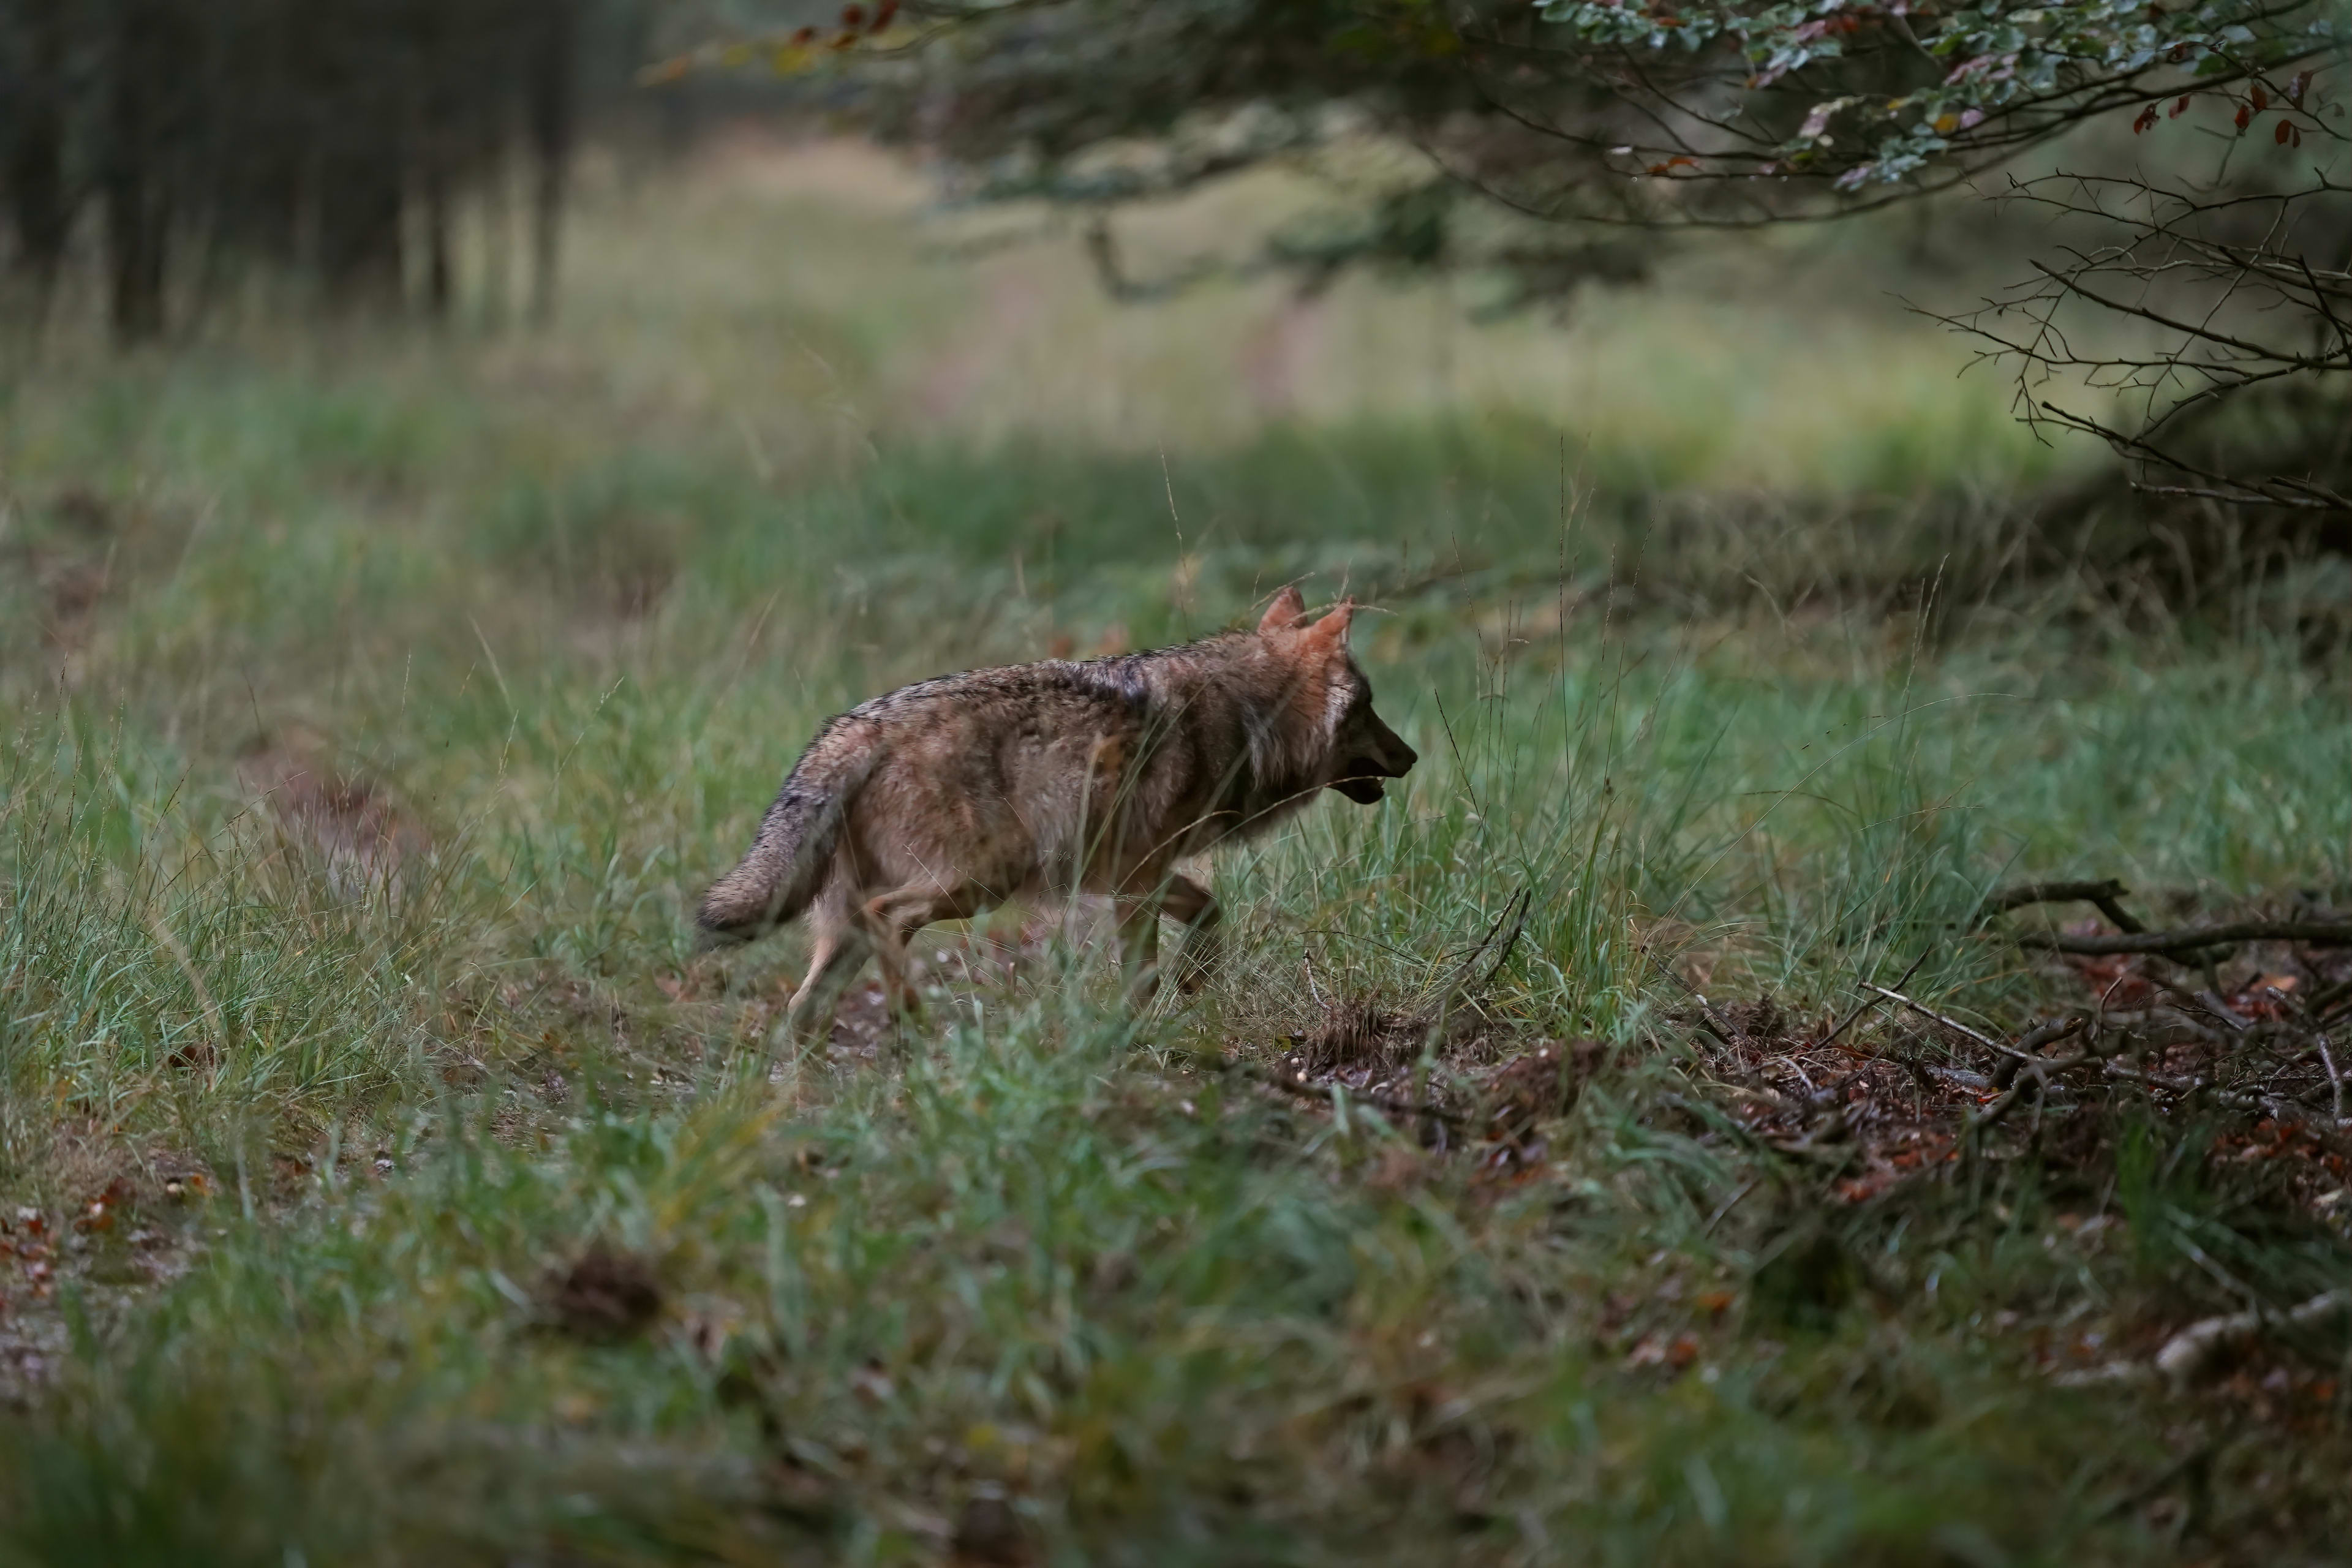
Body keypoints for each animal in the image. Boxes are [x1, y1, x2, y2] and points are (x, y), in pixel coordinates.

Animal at [696, 585, 1411, 1044]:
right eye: (1370, 705)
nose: (1412, 755)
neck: (1248, 717)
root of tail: (854, 729)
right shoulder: (1135, 882)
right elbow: (1143, 975)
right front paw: (1133, 1034)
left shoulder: (1136, 875)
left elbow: (1210, 913)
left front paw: (1194, 982)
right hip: (981, 883)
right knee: (887, 922)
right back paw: (915, 1031)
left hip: (859, 923)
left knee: (800, 1011)